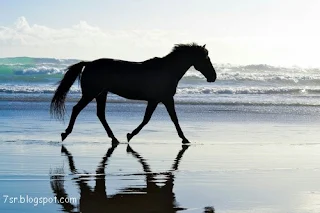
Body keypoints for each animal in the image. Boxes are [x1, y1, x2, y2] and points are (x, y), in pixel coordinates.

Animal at [50, 43, 218, 143]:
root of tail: (89, 63)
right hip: (91, 93)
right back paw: (65, 133)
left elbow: (156, 119)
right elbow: (162, 119)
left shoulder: (159, 99)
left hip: (101, 94)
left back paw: (114, 138)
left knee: (100, 115)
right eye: (206, 58)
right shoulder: (163, 99)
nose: (213, 77)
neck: (167, 70)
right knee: (77, 109)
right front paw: (185, 139)